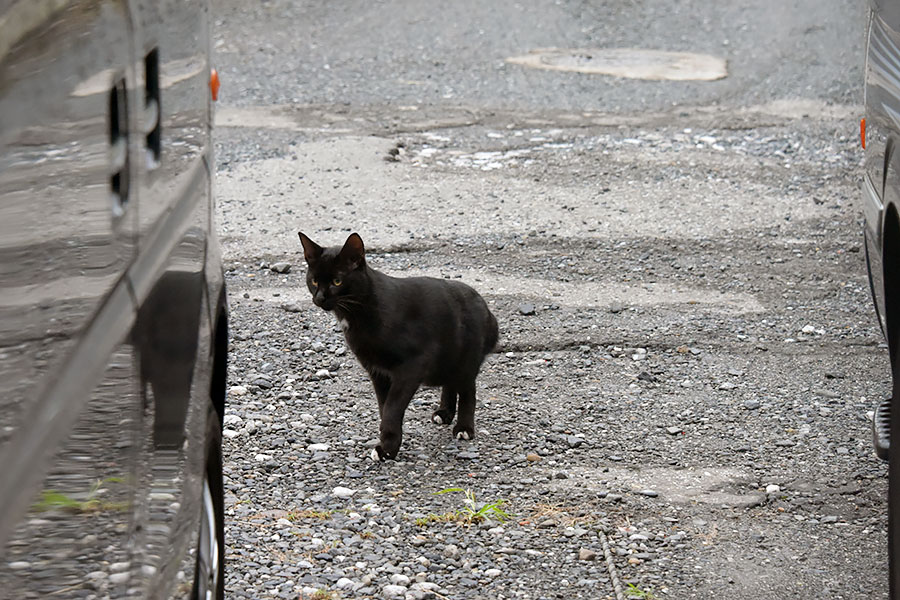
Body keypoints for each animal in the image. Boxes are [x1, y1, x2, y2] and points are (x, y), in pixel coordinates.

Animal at [300, 232, 500, 462]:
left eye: (337, 281)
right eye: (314, 280)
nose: (319, 298)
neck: (359, 311)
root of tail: (486, 307)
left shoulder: (412, 365)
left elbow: (392, 408)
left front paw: (387, 448)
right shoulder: (377, 372)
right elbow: (383, 406)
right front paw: (389, 443)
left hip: (466, 357)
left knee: (468, 390)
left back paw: (464, 428)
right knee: (451, 383)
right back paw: (444, 413)